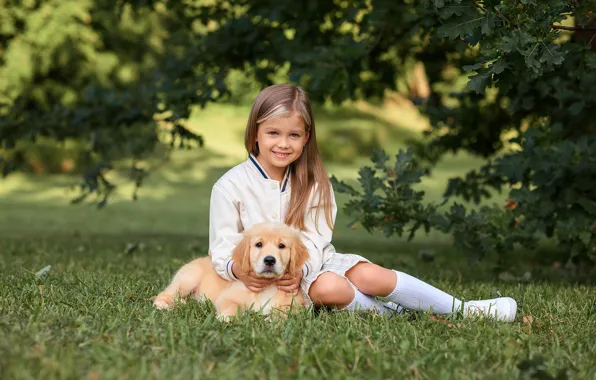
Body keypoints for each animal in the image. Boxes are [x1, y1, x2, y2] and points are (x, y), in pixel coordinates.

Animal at [151, 223, 310, 320]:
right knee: (166, 293)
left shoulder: (296, 304)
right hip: (188, 279)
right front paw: (226, 318)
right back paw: (163, 304)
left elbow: (285, 311)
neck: (267, 285)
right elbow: (232, 305)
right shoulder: (227, 297)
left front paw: (275, 320)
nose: (270, 260)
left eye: (282, 246)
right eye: (259, 244)